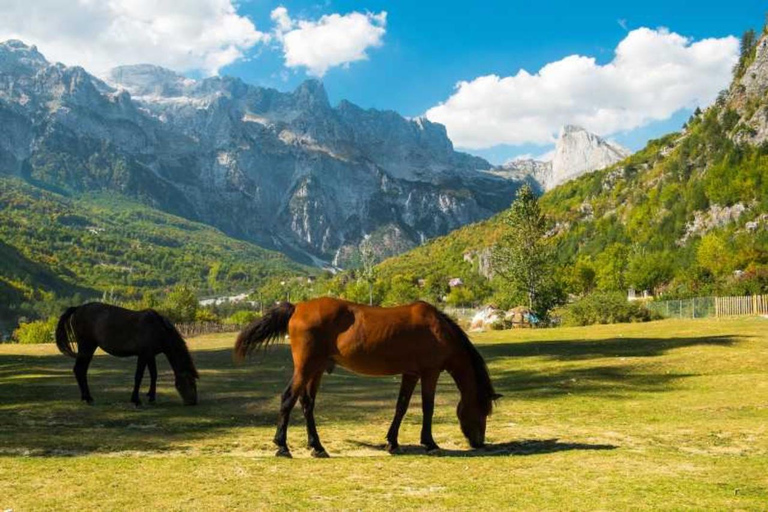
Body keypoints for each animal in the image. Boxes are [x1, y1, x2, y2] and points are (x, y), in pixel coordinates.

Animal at [56, 302, 198, 406]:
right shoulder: (143, 355)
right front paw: (136, 400)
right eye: (191, 383)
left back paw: (86, 397)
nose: (193, 402)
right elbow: (138, 376)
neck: (158, 328)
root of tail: (78, 308)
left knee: (81, 370)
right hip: (86, 347)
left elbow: (154, 375)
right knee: (79, 370)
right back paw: (87, 398)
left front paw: (151, 397)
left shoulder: (150, 355)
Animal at [234, 298, 498, 458]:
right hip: (305, 368)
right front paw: (430, 442)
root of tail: (297, 306)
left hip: (315, 370)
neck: (437, 329)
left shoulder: (411, 374)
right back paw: (282, 446)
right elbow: (428, 407)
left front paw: (392, 442)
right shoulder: (429, 373)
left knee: (307, 403)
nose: (479, 443)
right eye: (483, 411)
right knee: (288, 398)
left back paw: (317, 447)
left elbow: (401, 407)